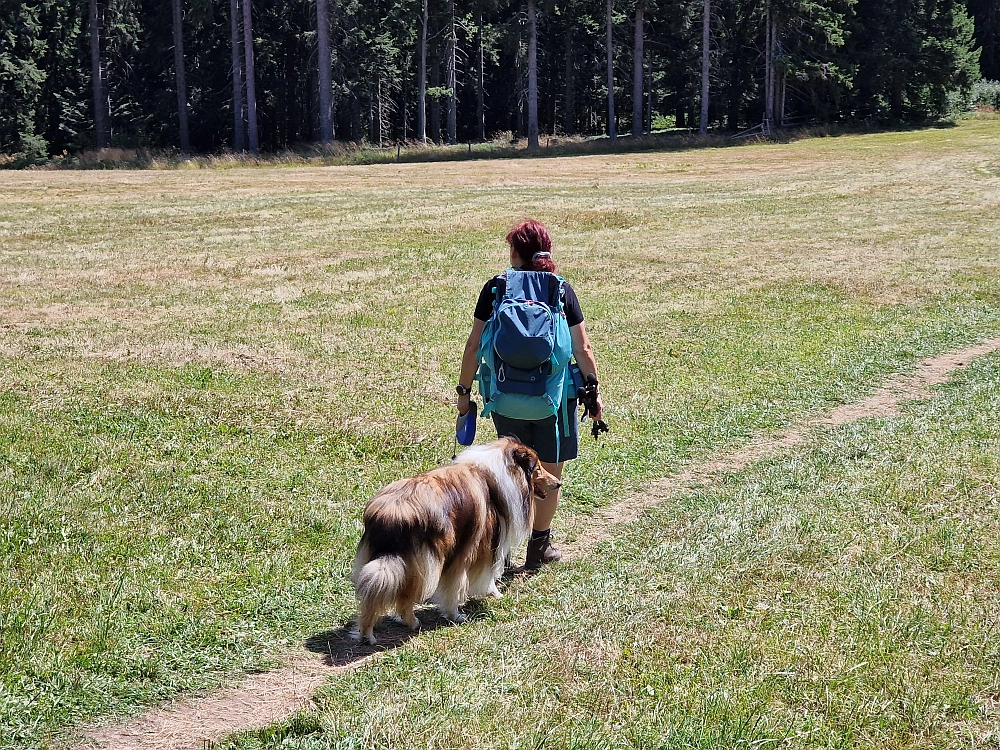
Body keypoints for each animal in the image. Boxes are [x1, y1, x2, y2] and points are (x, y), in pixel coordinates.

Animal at [350, 440, 564, 648]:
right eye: (537, 467)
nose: (559, 483)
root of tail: (393, 513)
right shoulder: (474, 548)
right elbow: (473, 579)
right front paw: (461, 611)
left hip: (391, 562)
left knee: (379, 595)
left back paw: (368, 633)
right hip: (426, 563)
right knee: (405, 598)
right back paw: (410, 623)